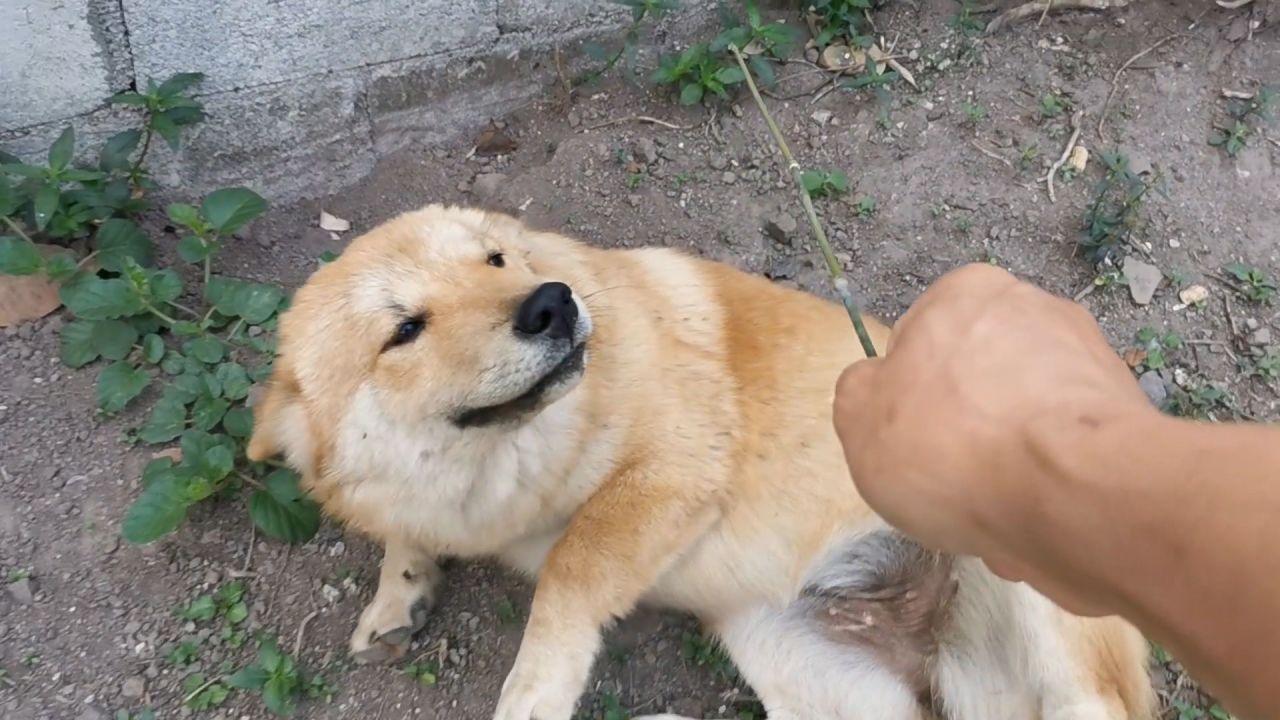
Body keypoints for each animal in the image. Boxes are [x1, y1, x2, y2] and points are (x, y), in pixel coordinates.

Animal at [247, 205, 1154, 720]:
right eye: (404, 330)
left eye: (493, 262)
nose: (552, 305)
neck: (510, 465)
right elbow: (403, 532)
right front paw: (397, 594)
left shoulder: (673, 474)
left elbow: (569, 572)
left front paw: (534, 689)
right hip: (800, 663)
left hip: (1045, 596)